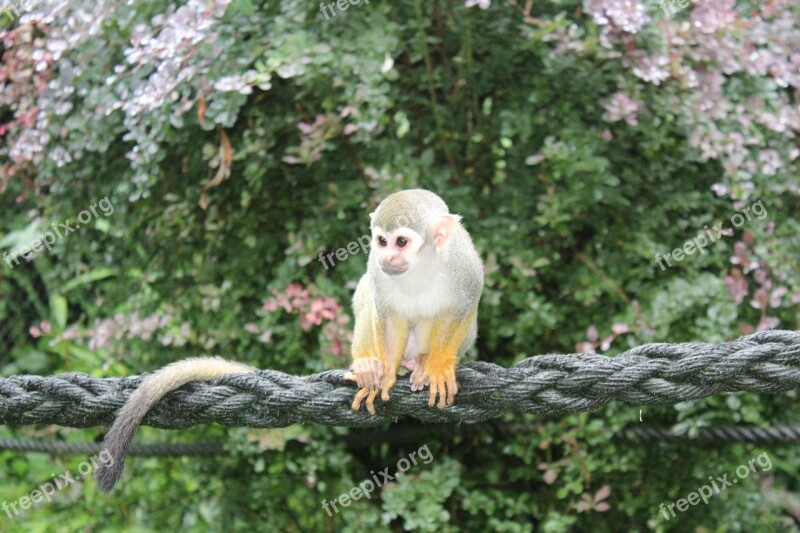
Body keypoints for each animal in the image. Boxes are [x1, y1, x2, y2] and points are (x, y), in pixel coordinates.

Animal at [342, 189, 482, 414]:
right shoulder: (375, 265)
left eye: (401, 242)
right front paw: (386, 374)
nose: (387, 258)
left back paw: (424, 362)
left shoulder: (464, 265)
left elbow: (462, 305)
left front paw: (438, 366)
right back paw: (368, 364)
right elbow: (387, 314)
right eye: (382, 241)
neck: (420, 265)